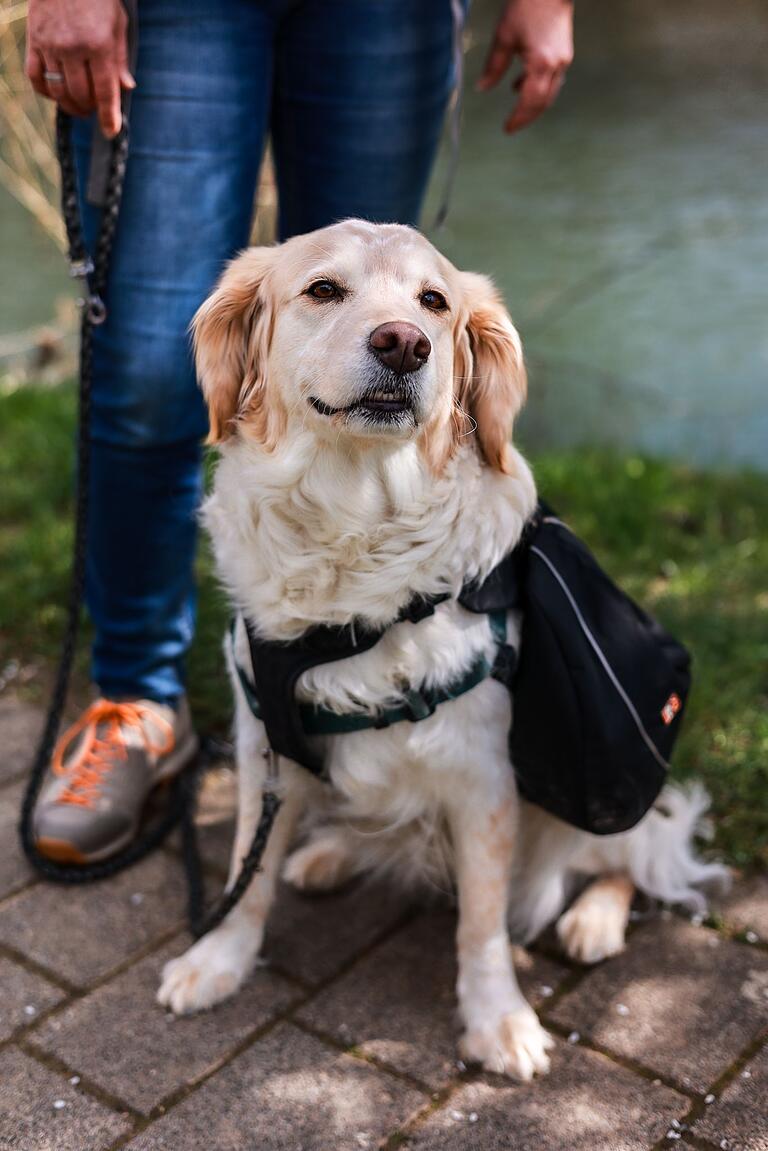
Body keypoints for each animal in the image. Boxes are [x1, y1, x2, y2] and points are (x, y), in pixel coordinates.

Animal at [157, 219, 727, 1081]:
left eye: (434, 302)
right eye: (323, 290)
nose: (404, 343)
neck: (354, 533)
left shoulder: (483, 777)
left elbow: (481, 926)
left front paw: (499, 1019)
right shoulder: (264, 744)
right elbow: (243, 879)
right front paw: (217, 959)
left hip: (607, 781)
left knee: (630, 852)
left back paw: (594, 919)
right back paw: (327, 855)